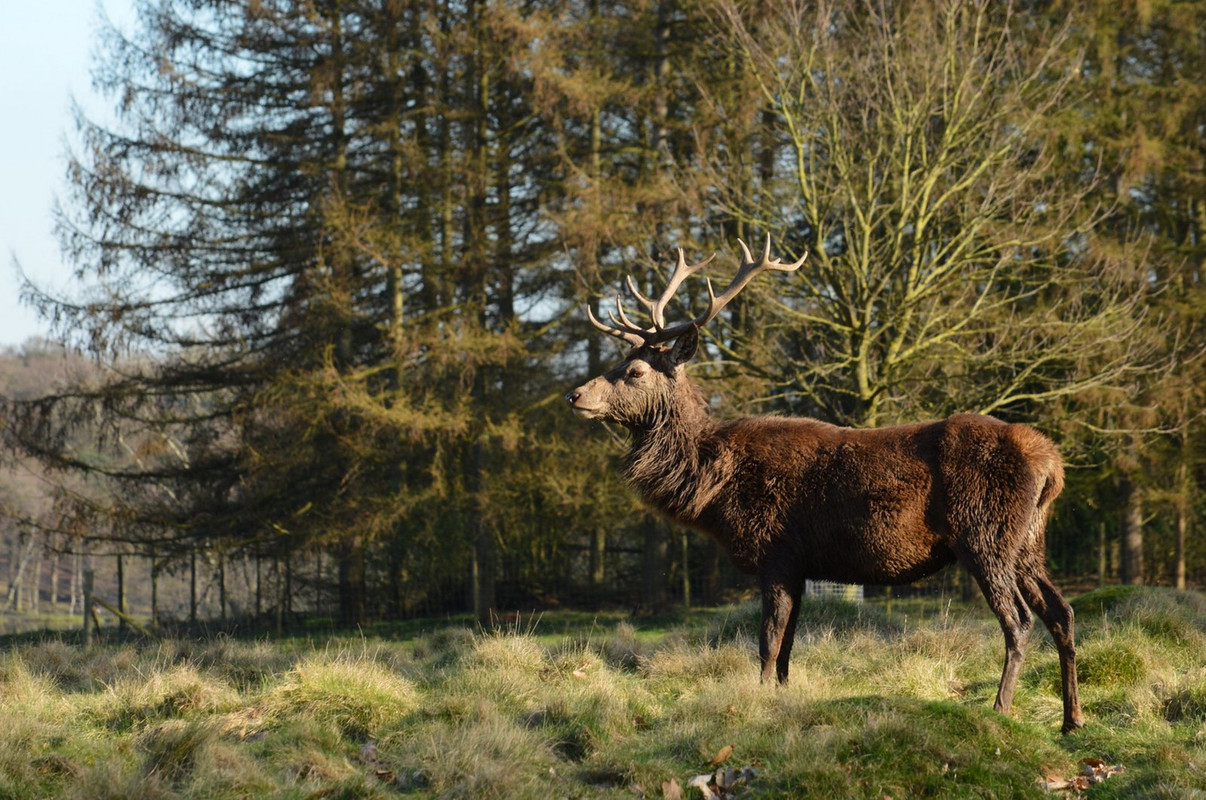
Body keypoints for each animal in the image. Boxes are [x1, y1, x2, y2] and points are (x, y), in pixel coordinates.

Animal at [565, 236, 1084, 734]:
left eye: (635, 372)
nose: (575, 395)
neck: (715, 490)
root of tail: (1052, 465)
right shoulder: (800, 566)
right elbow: (789, 647)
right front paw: (781, 698)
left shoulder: (777, 552)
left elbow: (768, 642)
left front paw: (757, 703)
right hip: (1027, 542)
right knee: (1062, 612)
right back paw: (1071, 720)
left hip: (985, 534)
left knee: (1019, 621)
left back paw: (1000, 709)